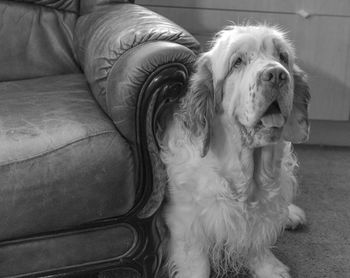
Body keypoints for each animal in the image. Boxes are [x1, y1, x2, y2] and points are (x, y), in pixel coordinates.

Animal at [160, 24, 310, 278]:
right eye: (237, 62)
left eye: (282, 57)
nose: (276, 75)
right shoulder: (185, 222)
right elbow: (197, 262)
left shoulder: (261, 213)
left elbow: (258, 241)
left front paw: (269, 267)